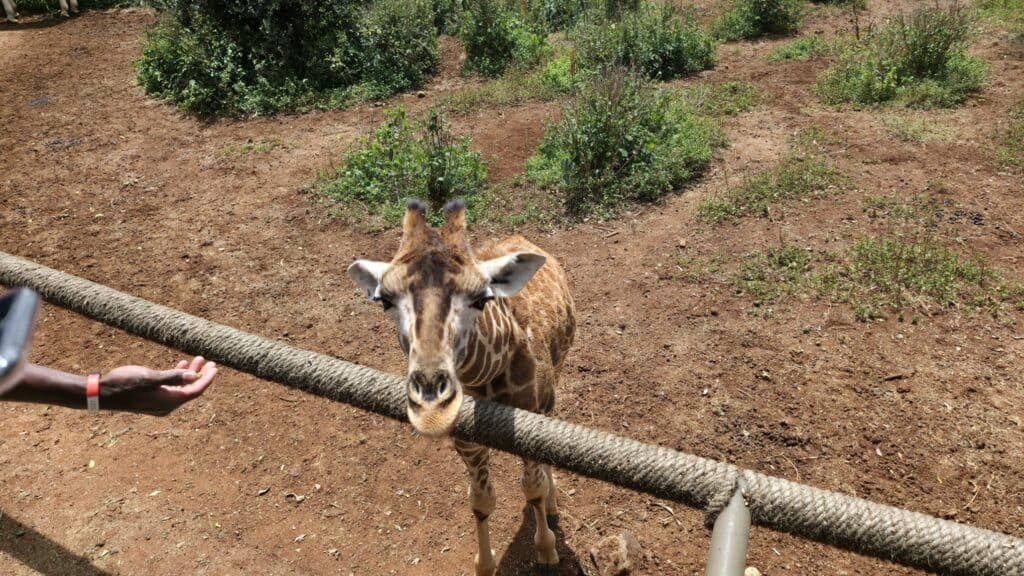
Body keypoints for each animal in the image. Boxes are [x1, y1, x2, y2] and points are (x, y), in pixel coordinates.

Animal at [347, 198, 576, 575]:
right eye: (385, 301)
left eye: (481, 298)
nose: (430, 404)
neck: (487, 378)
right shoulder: (466, 440)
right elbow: (481, 501)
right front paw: (484, 564)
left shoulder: (531, 418)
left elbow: (533, 489)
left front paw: (546, 549)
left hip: (554, 383)